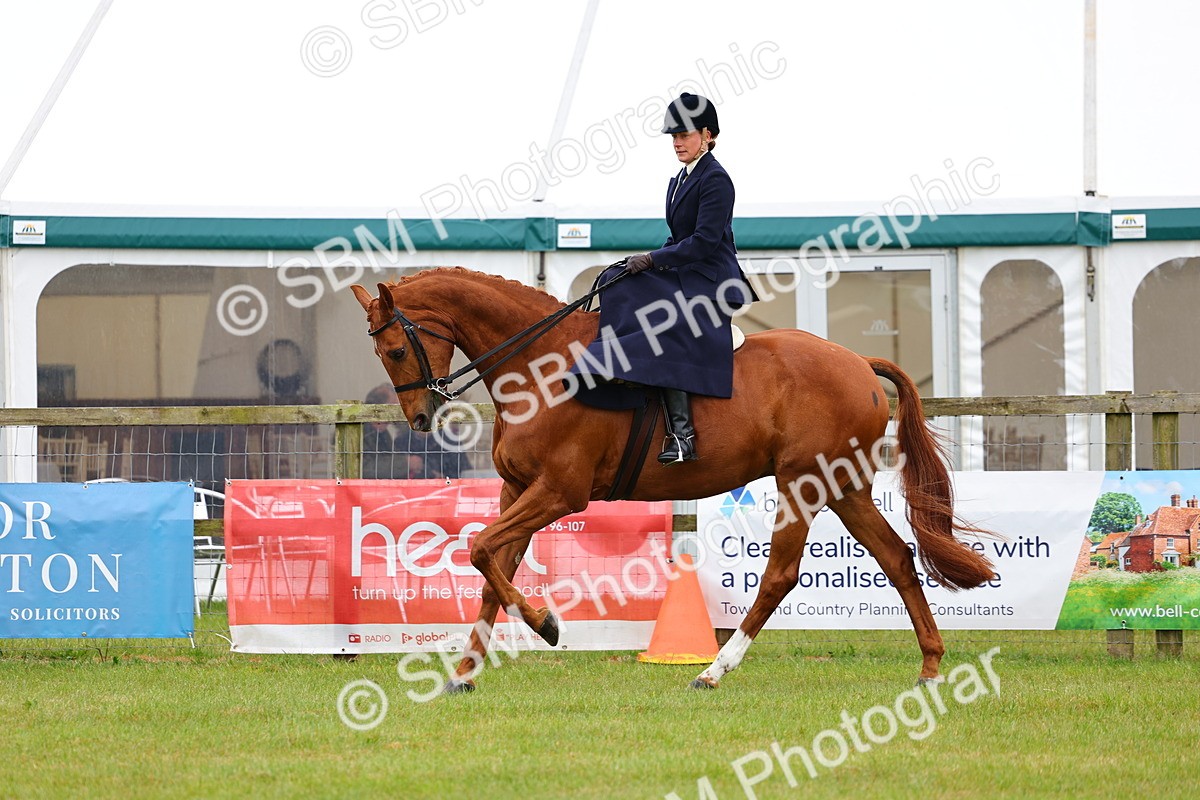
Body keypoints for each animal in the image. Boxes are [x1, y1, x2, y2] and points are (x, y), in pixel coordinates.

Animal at [351, 267, 995, 692]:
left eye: (396, 350)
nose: (420, 419)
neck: (540, 367)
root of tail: (859, 362)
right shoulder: (518, 489)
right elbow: (490, 570)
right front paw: (465, 673)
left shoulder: (559, 492)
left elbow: (480, 548)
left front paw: (547, 625)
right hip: (844, 487)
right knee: (897, 557)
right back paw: (930, 667)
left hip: (804, 484)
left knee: (780, 575)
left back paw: (714, 671)